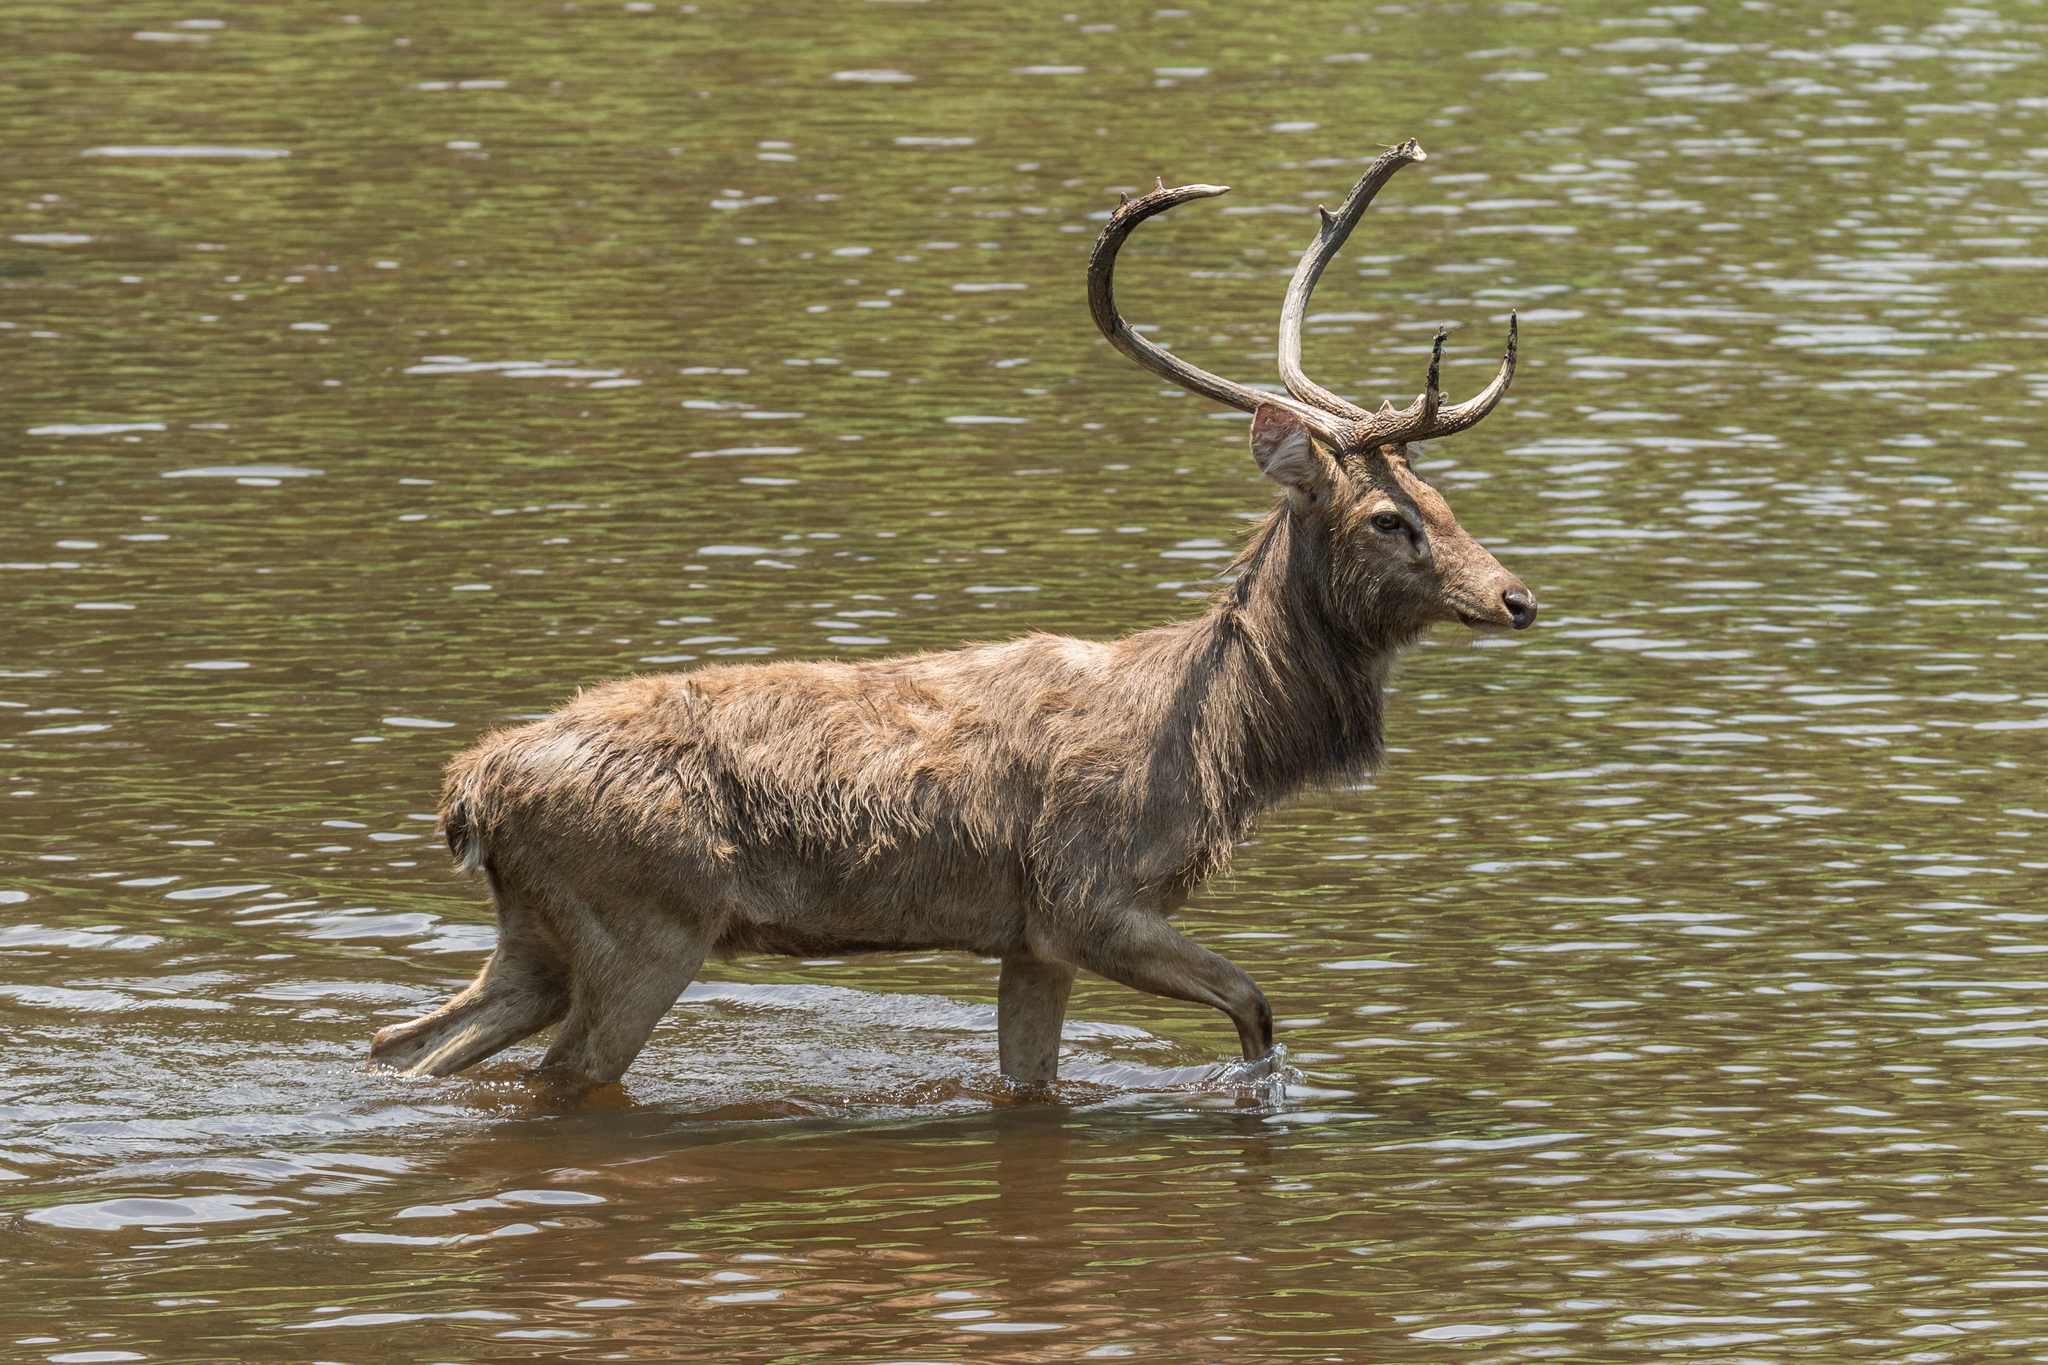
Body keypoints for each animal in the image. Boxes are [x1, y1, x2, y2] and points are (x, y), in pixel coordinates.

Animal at [365, 138, 1536, 1092]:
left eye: (1444, 499)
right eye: (1388, 517)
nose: (1515, 596)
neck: (1216, 750)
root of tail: (471, 791)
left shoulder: (1029, 939)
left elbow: (1032, 1082)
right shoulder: (1084, 896)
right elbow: (1256, 1007)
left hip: (536, 934)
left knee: (401, 1043)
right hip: (645, 924)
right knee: (552, 1073)